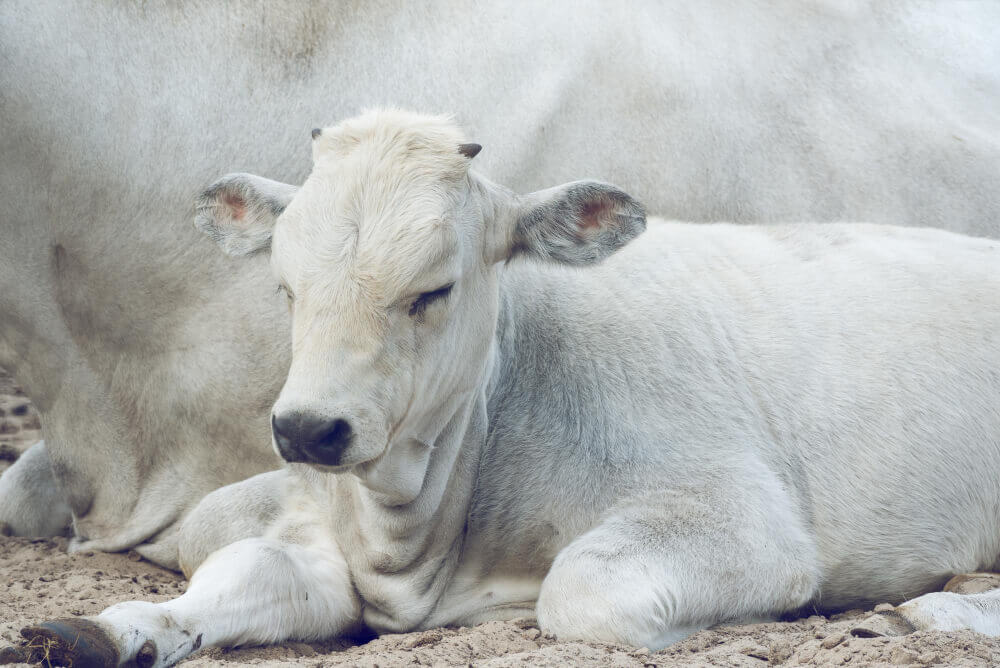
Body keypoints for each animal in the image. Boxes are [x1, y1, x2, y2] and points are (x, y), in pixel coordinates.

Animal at [19, 109, 1000, 668]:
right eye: (285, 287)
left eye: (433, 290)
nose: (307, 430)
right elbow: (227, 561)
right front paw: (117, 629)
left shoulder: (739, 515)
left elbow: (583, 592)